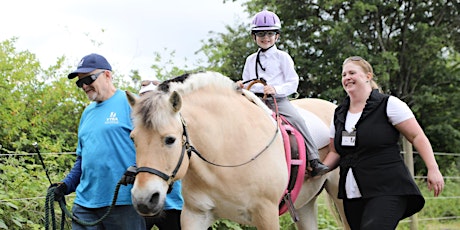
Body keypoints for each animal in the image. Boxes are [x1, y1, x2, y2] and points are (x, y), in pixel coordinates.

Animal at [126, 71, 348, 229]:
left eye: (170, 140)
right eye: (133, 138)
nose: (144, 200)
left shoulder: (266, 214)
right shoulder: (195, 215)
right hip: (305, 205)